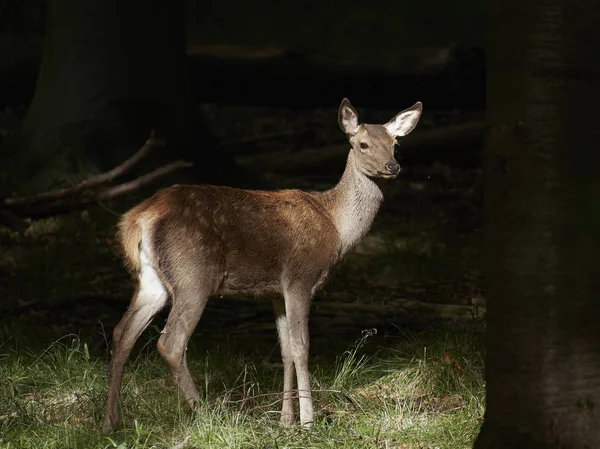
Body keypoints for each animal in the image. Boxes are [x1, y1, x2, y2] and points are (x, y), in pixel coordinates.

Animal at [102, 97, 422, 430]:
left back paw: (110, 421)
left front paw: (285, 420)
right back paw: (204, 412)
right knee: (170, 342)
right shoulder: (299, 278)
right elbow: (301, 347)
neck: (336, 227)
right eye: (363, 144)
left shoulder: (274, 291)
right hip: (193, 274)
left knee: (123, 332)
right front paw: (308, 421)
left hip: (153, 280)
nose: (393, 166)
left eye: (395, 144)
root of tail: (138, 217)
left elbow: (285, 351)